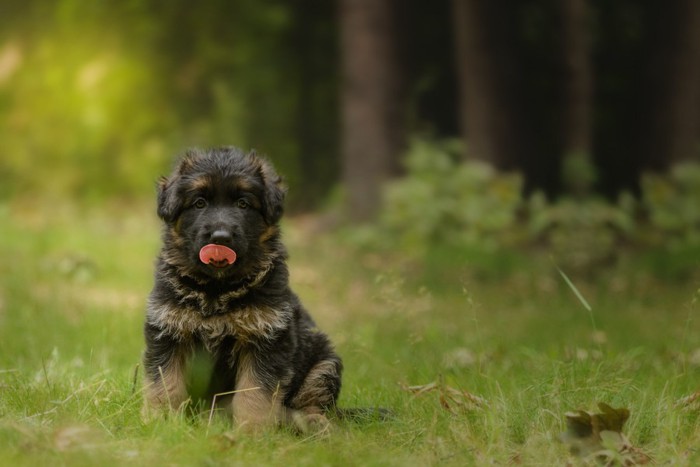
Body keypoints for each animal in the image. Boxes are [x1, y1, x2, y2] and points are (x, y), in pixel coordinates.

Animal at [142, 148, 342, 434]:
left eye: (243, 204)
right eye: (199, 203)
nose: (220, 238)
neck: (216, 289)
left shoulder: (267, 339)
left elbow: (255, 393)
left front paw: (251, 432)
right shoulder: (168, 331)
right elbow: (164, 383)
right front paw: (161, 422)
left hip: (324, 363)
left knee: (312, 403)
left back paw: (314, 424)